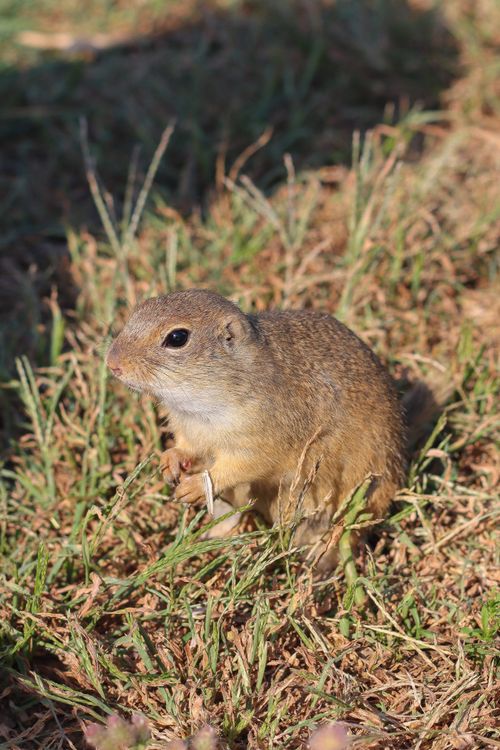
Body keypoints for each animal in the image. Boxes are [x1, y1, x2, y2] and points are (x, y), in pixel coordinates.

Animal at [106, 289, 410, 572]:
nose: (112, 363)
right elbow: (185, 447)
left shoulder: (262, 441)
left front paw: (194, 486)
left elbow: (242, 467)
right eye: (138, 310)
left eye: (177, 338)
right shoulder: (189, 430)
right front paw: (170, 461)